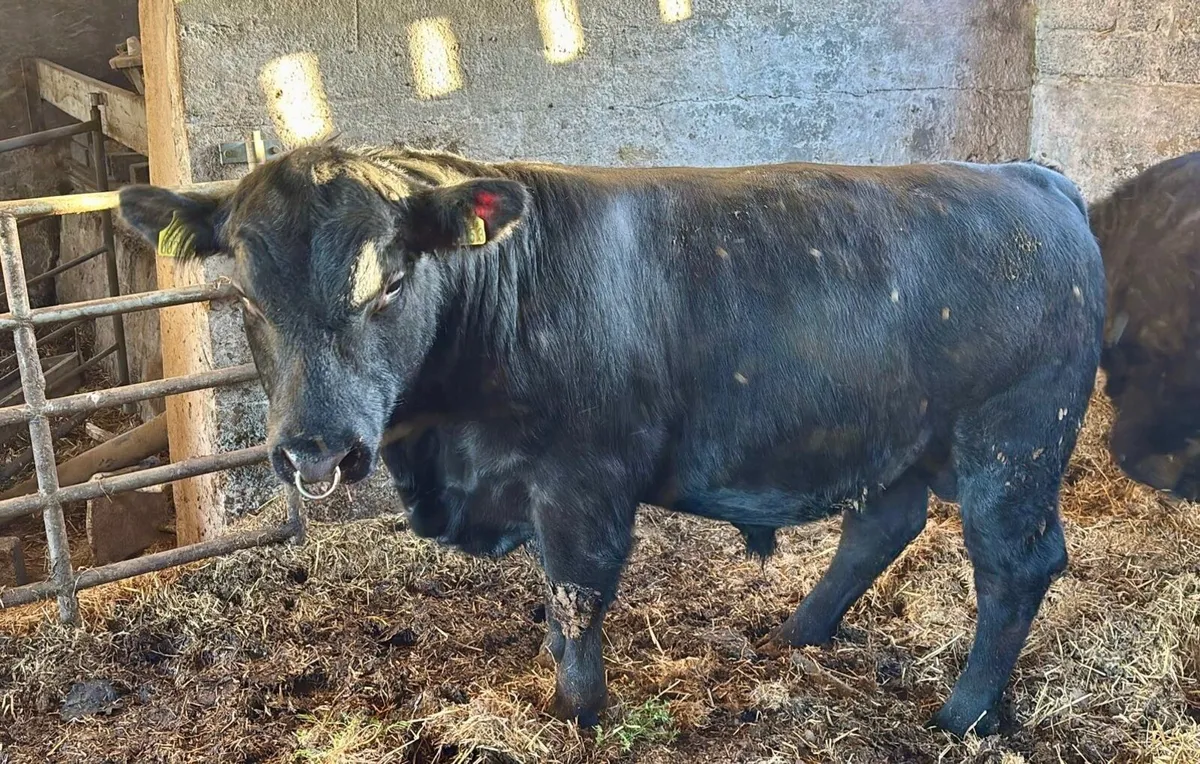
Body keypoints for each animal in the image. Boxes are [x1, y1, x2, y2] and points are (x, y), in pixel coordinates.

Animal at [116, 144, 1105, 738]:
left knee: (1014, 565)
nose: (314, 450)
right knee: (882, 525)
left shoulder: (584, 482)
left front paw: (579, 711)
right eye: (243, 293)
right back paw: (802, 633)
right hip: (891, 434)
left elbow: (576, 594)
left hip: (1013, 443)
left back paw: (965, 715)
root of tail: (1029, 178)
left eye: (391, 281)